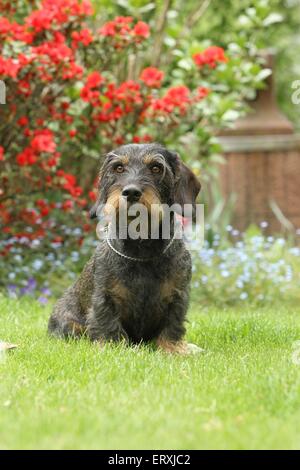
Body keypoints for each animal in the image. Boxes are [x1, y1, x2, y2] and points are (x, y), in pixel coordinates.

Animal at [48, 141, 202, 354]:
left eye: (156, 168)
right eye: (119, 168)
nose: (131, 192)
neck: (142, 249)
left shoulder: (177, 295)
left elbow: (172, 325)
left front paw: (173, 349)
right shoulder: (105, 297)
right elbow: (107, 323)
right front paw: (111, 346)